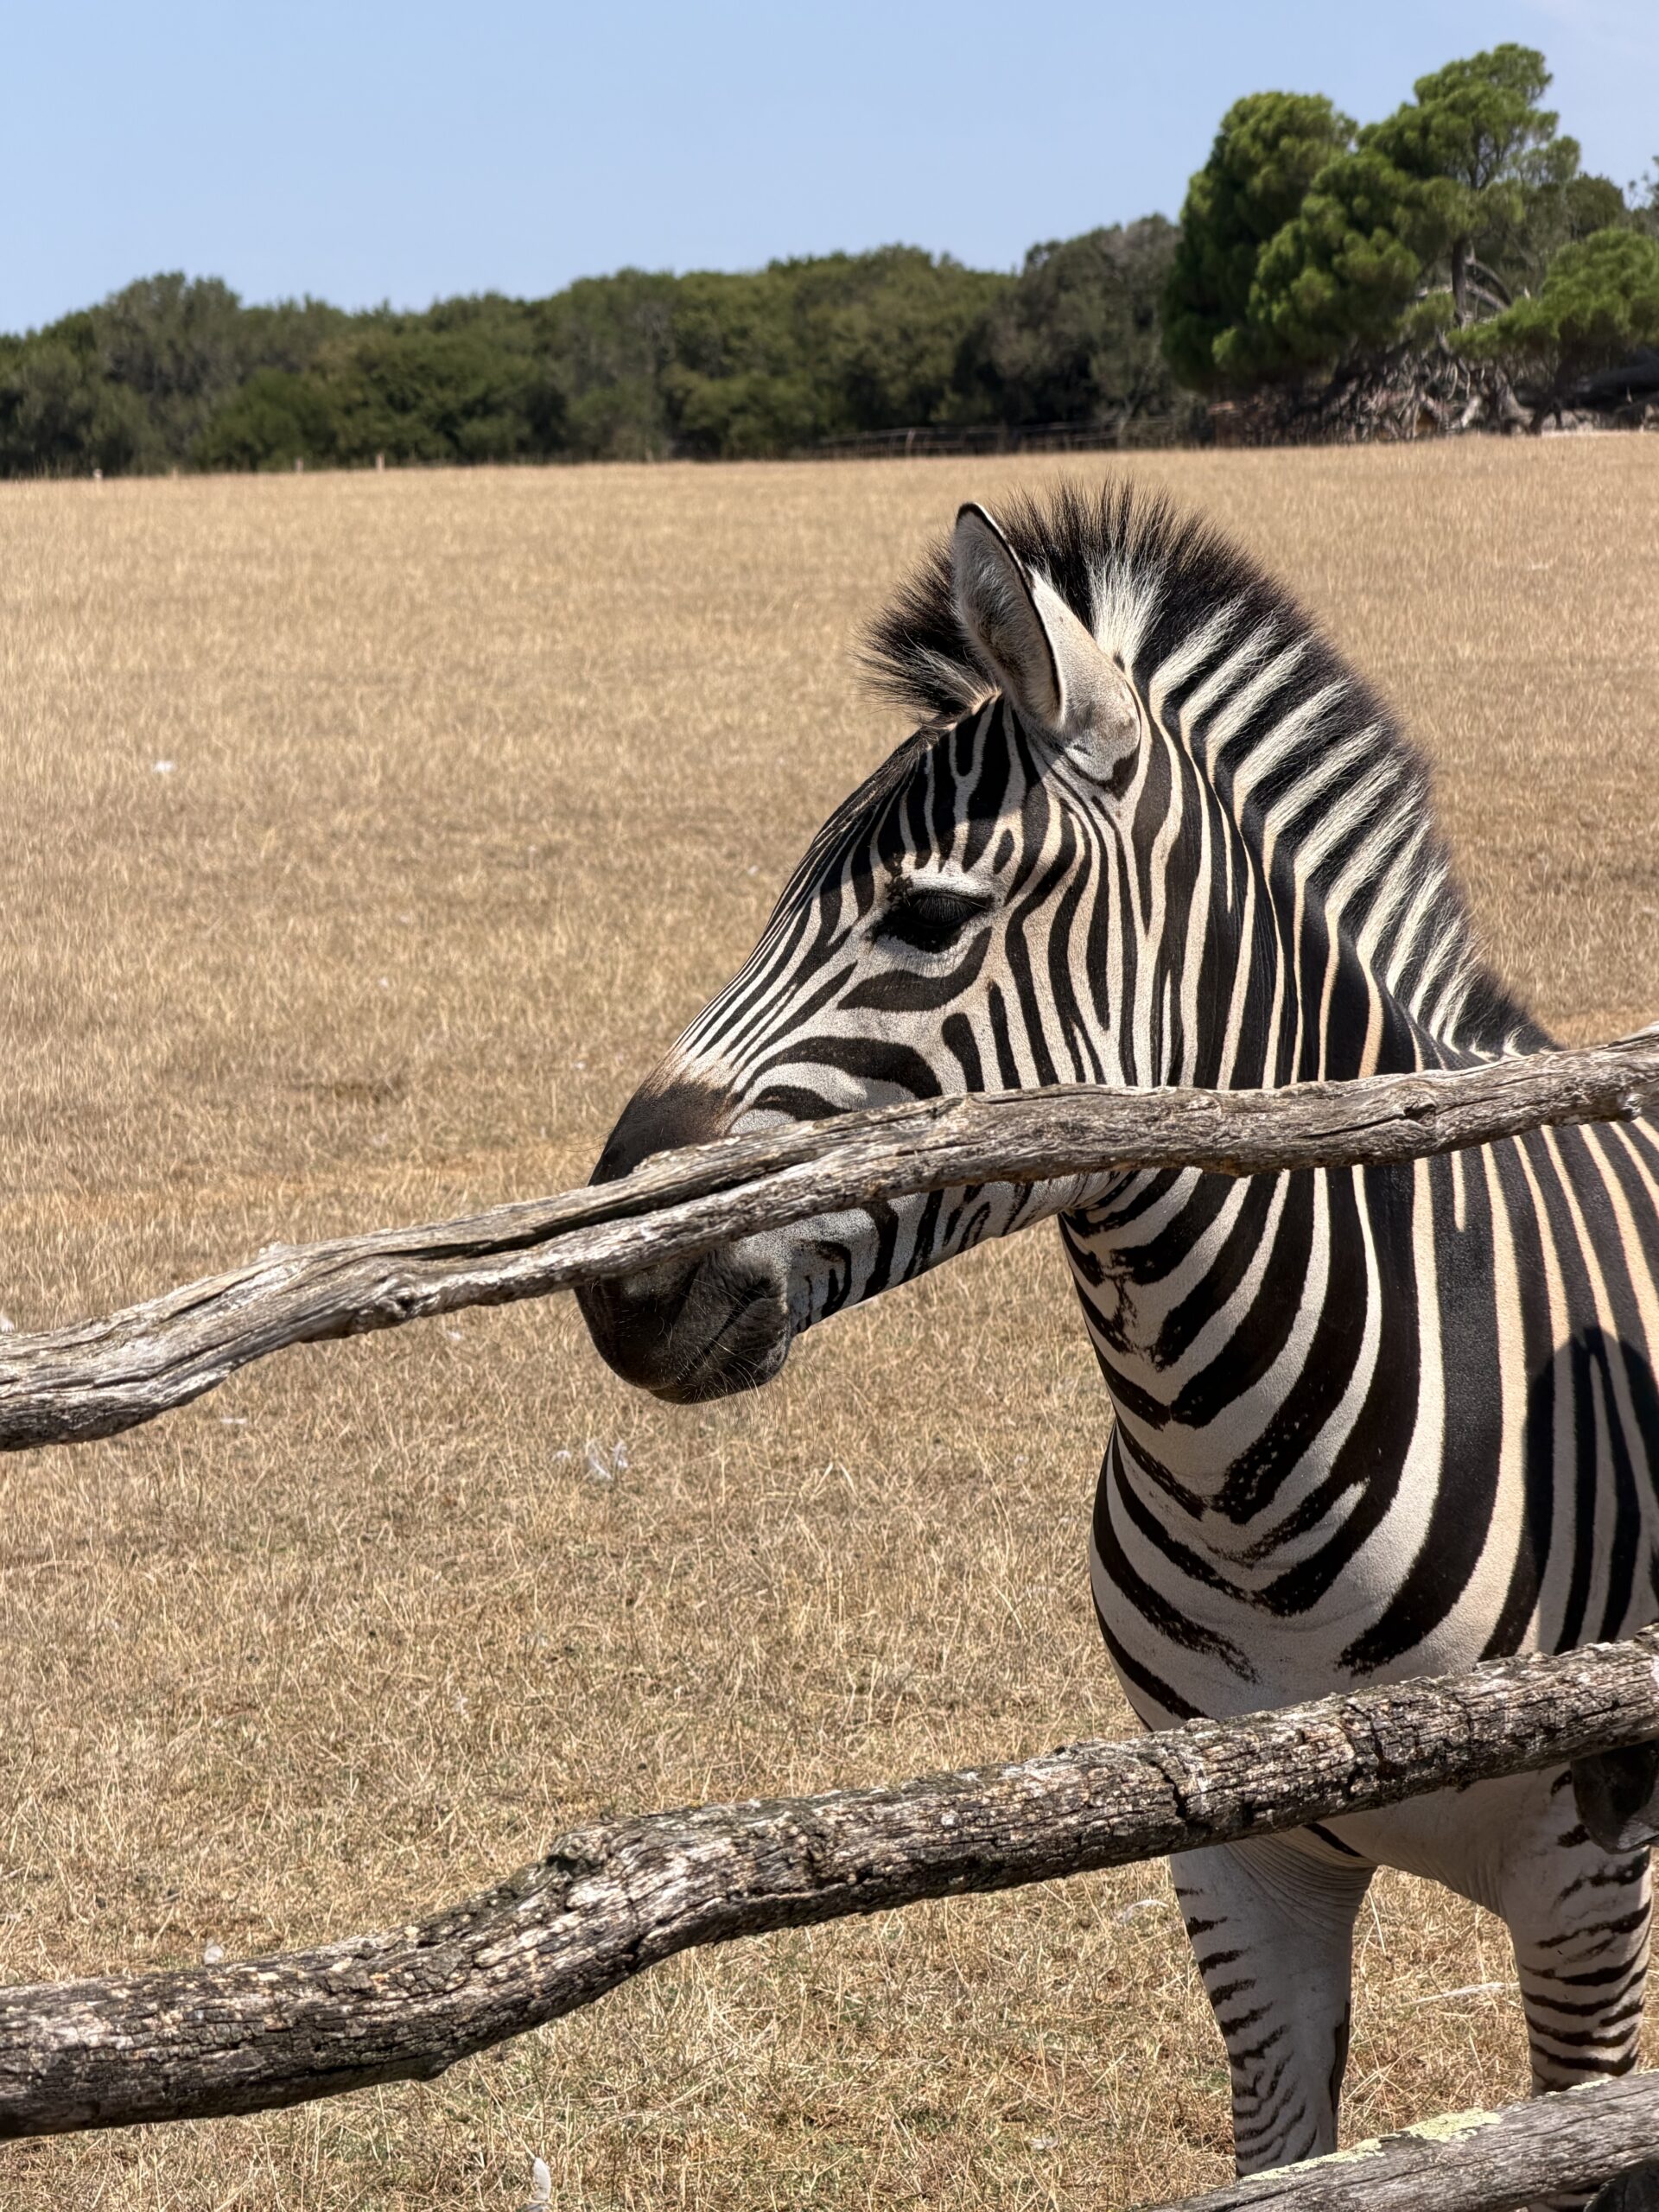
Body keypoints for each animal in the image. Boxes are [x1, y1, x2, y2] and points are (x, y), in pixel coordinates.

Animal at [577, 482, 1659, 2195]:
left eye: (929, 916)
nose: (617, 1282)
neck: (1246, 1465)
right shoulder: (1234, 1860)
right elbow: (1283, 2164)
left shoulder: (1583, 1876)